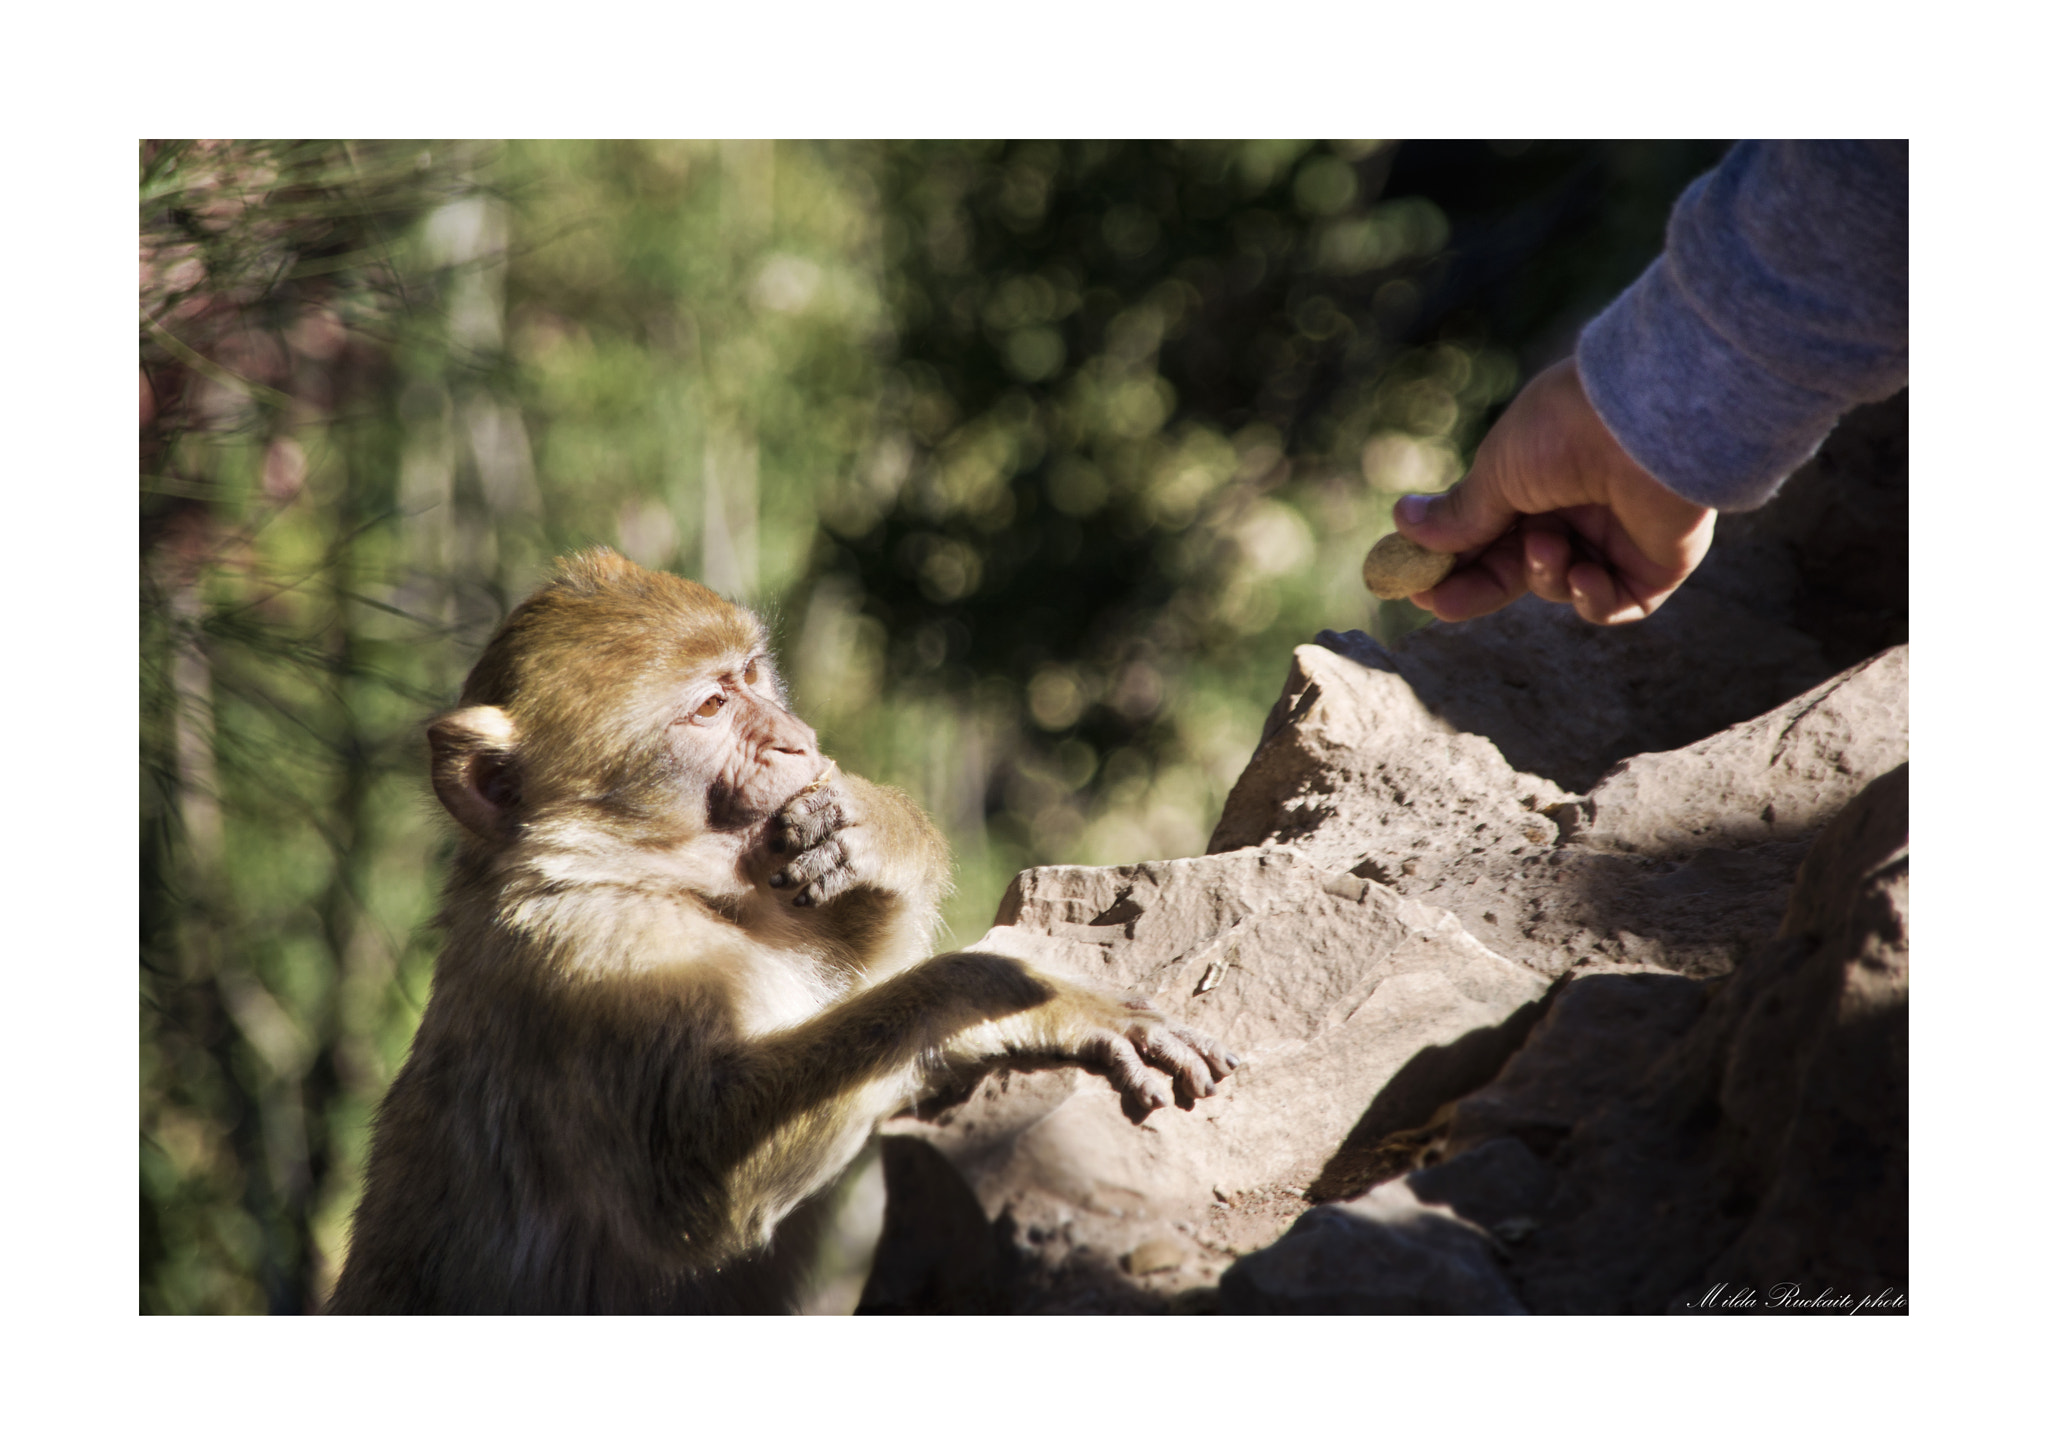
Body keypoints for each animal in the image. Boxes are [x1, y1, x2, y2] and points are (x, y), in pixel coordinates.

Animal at [327, 549, 1236, 1319]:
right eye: (709, 706)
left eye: (751, 675)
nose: (797, 742)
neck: (640, 876)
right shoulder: (593, 965)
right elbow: (698, 1190)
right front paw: (1008, 989)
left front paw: (876, 827)